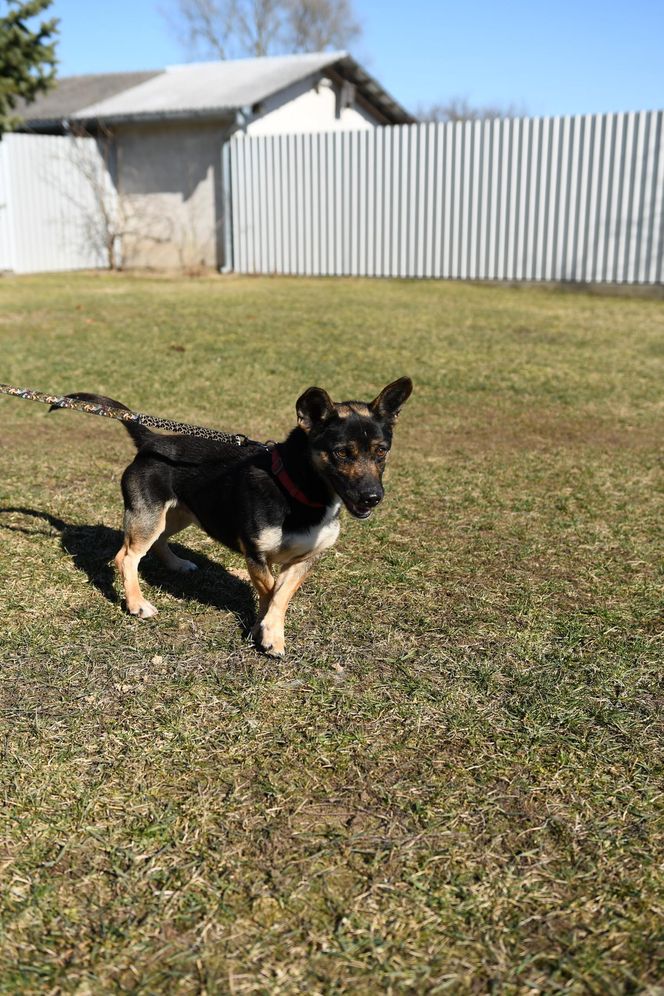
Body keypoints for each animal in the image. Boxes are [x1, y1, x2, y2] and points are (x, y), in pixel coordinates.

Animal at [58, 378, 410, 656]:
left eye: (382, 451)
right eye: (341, 453)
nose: (373, 497)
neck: (297, 488)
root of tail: (150, 441)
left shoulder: (305, 559)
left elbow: (281, 594)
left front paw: (270, 631)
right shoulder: (256, 553)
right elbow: (269, 591)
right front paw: (264, 632)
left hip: (181, 514)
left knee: (159, 542)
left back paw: (177, 564)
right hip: (149, 517)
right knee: (127, 556)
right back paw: (136, 603)